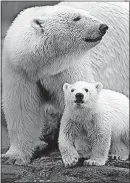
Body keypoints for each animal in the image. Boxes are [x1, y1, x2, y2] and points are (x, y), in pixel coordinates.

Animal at [2, 2, 128, 165]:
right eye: (77, 18)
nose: (103, 27)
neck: (41, 66)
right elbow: (21, 108)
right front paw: (14, 157)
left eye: (87, 14)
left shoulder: (68, 69)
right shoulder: (19, 71)